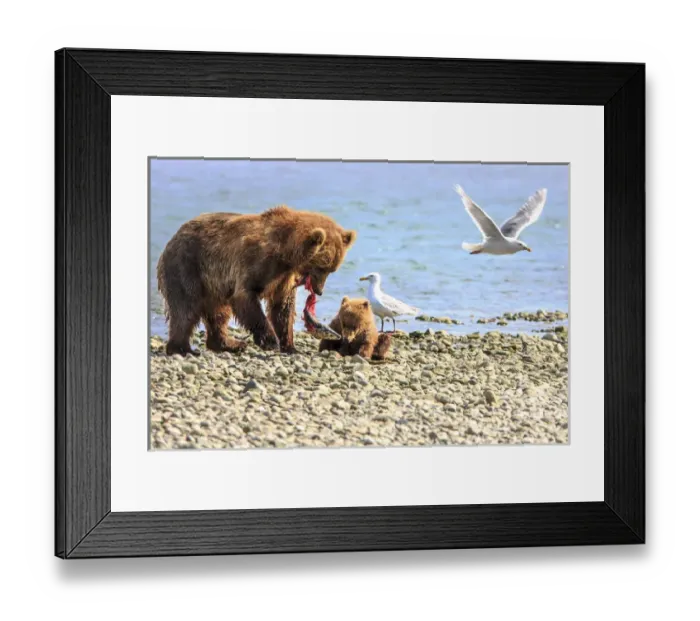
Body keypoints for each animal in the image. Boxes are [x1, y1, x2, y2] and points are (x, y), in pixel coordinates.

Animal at [156, 205, 356, 356]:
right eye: (322, 267)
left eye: (332, 269)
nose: (319, 290)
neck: (286, 253)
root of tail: (172, 239)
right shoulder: (256, 261)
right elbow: (245, 297)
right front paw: (270, 341)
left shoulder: (284, 278)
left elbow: (283, 308)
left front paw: (290, 346)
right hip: (187, 266)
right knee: (185, 309)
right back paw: (182, 348)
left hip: (213, 285)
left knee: (218, 313)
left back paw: (228, 344)